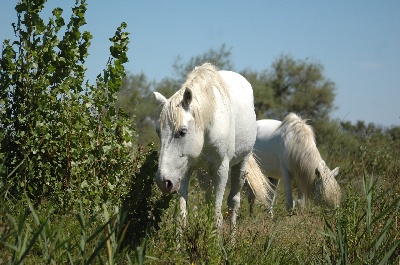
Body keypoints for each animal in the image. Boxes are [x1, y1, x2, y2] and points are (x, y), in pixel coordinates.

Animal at [153, 63, 268, 230]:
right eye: (158, 132)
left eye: (182, 132)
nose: (164, 182)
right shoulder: (185, 170)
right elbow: (180, 216)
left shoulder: (221, 169)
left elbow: (216, 216)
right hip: (203, 173)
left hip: (241, 165)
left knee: (233, 203)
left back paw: (232, 237)